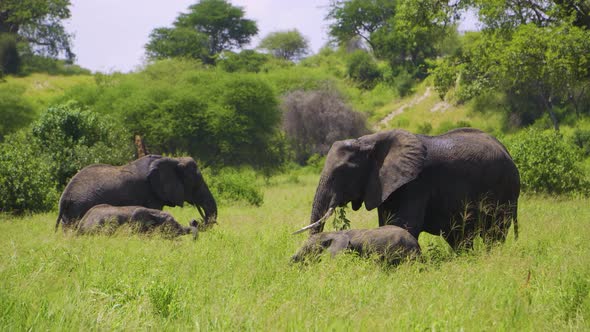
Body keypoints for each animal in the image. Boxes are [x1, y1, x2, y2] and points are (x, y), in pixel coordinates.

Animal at [55, 155, 217, 231]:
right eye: (195, 183)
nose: (196, 221)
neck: (174, 160)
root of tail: (64, 198)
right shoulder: (150, 193)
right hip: (79, 208)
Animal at [298, 127, 520, 249]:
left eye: (342, 171)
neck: (371, 141)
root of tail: (508, 152)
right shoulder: (384, 185)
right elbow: (386, 224)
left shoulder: (417, 184)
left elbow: (403, 225)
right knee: (460, 236)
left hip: (505, 191)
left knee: (494, 233)